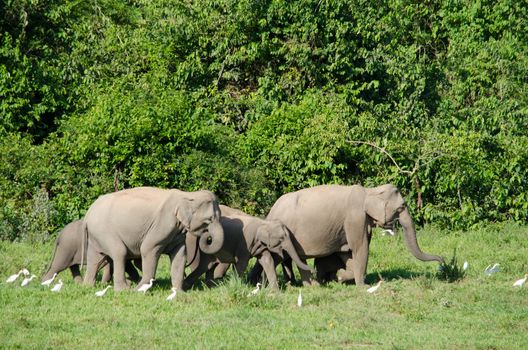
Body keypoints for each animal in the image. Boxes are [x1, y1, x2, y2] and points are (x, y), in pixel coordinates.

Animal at [83, 187, 224, 292]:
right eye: (209, 219)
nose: (207, 235)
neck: (186, 195)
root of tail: (88, 213)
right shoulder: (163, 224)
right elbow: (147, 249)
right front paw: (139, 290)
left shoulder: (177, 232)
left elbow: (180, 256)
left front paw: (179, 292)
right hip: (104, 231)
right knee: (119, 252)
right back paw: (124, 289)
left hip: (96, 235)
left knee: (94, 259)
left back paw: (88, 286)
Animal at [185, 205, 314, 290]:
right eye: (282, 238)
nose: (313, 270)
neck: (264, 222)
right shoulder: (244, 242)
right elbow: (242, 264)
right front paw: (236, 285)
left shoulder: (259, 245)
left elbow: (267, 260)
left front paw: (275, 292)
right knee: (204, 266)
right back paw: (189, 286)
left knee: (210, 267)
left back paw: (211, 286)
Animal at [254, 183, 444, 288]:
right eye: (401, 207)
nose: (442, 262)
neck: (369, 191)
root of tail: (272, 210)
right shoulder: (355, 219)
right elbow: (360, 249)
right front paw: (362, 286)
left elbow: (347, 253)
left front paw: (340, 277)